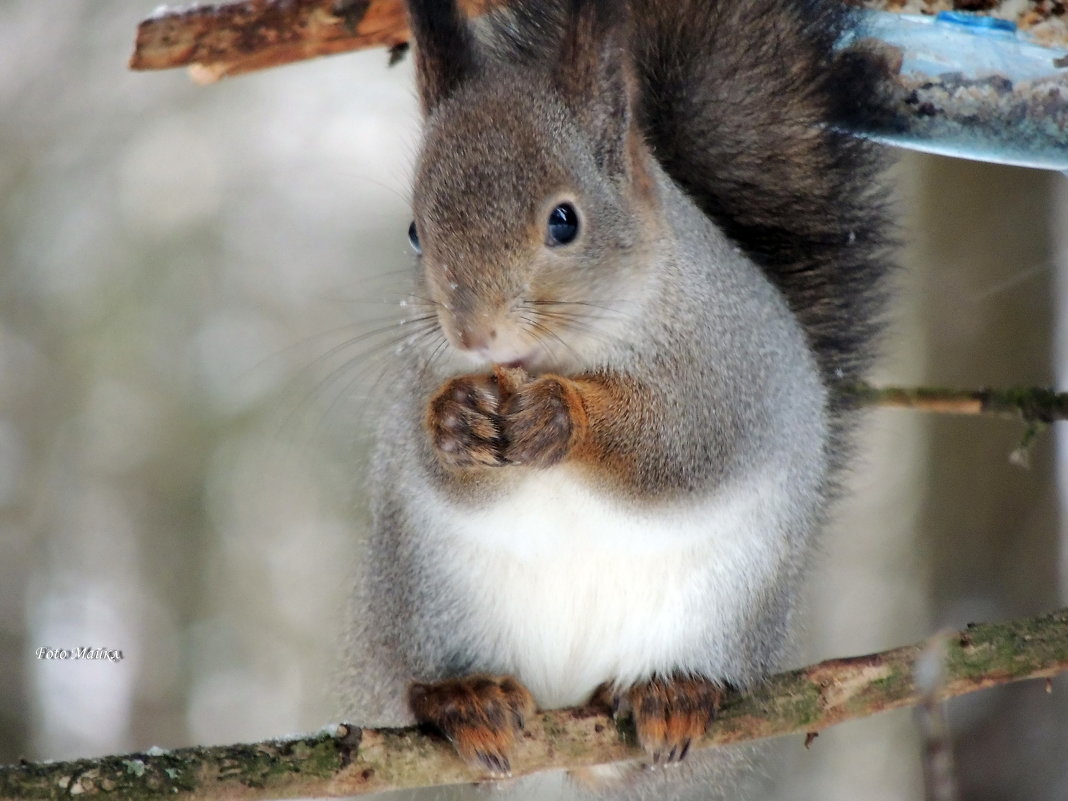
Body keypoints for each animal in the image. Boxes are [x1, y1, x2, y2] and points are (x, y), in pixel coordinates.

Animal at [337, 0, 888, 794]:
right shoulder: (423, 369)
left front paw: (562, 416)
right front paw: (455, 421)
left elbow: (676, 448)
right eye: (415, 232)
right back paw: (465, 699)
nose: (474, 332)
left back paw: (674, 693)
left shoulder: (725, 373)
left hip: (722, 607)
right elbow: (443, 466)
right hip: (424, 602)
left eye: (564, 220)